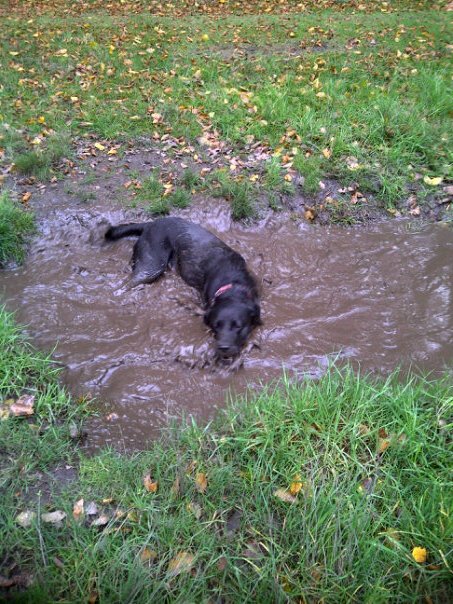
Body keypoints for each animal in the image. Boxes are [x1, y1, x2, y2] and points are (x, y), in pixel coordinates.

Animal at [105, 217, 261, 357]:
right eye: (216, 326)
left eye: (238, 326)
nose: (223, 347)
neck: (232, 282)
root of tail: (150, 223)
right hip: (151, 267)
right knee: (128, 283)